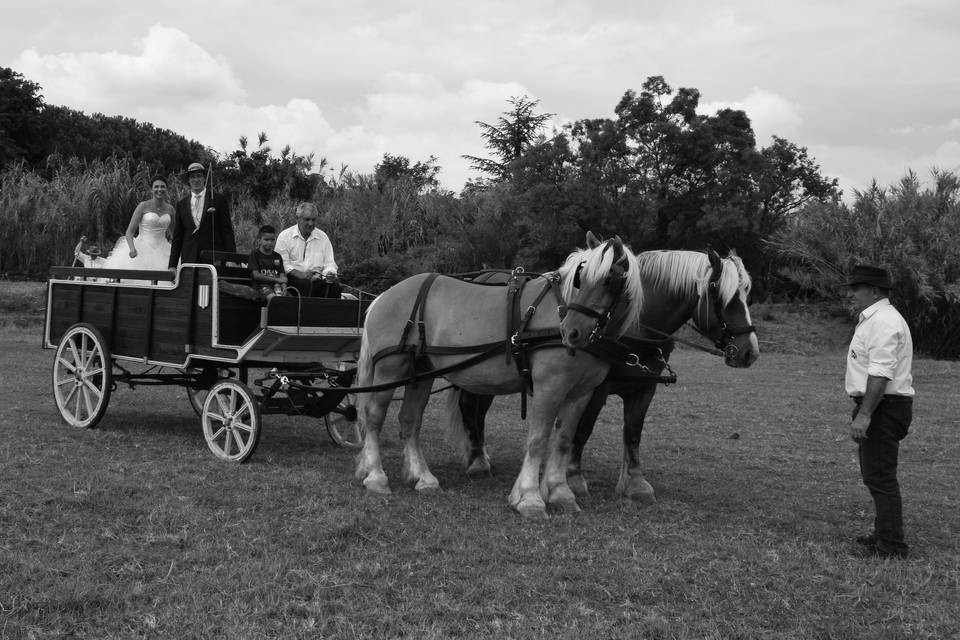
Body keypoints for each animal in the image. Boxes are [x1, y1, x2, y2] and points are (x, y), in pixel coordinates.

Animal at [352, 232, 644, 516]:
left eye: (609, 281)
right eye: (581, 279)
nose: (571, 332)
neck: (559, 310)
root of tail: (383, 296)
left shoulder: (581, 392)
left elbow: (563, 440)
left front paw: (561, 493)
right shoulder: (549, 386)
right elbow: (538, 439)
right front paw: (529, 498)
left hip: (421, 372)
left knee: (410, 420)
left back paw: (423, 477)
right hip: (391, 368)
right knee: (374, 417)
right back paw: (376, 477)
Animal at [448, 248, 756, 502]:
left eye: (746, 294)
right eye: (725, 297)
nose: (749, 352)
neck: (633, 325)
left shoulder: (644, 389)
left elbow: (633, 433)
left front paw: (635, 483)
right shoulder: (596, 387)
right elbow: (582, 430)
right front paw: (573, 478)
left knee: (476, 409)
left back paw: (479, 455)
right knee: (470, 406)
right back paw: (478, 461)